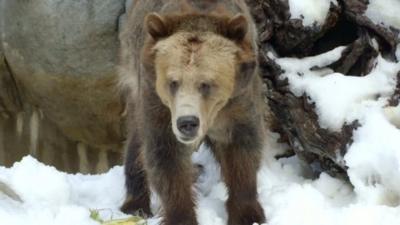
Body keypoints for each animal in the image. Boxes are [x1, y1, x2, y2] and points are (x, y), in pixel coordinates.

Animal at [119, 0, 268, 225]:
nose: (187, 122)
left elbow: (243, 152)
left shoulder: (239, 100)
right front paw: (181, 216)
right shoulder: (158, 104)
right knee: (136, 143)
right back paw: (135, 204)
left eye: (206, 84)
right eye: (173, 82)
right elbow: (166, 158)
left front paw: (248, 214)